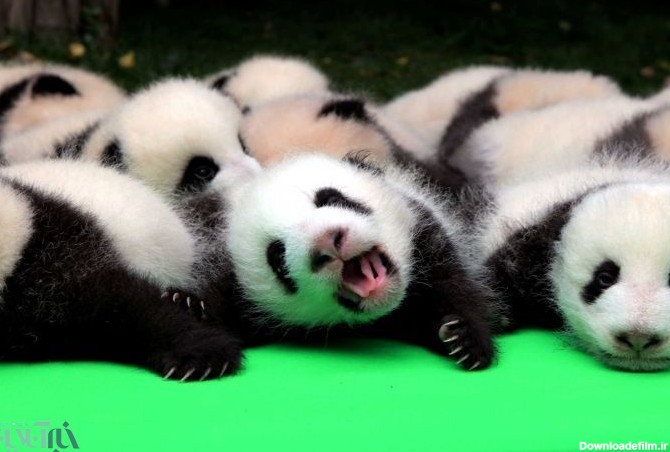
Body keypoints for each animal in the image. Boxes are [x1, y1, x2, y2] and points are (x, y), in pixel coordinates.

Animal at [176, 153, 497, 371]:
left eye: (332, 198)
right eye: (277, 257)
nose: (328, 242)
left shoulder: (426, 235)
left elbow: (454, 286)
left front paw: (463, 338)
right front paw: (191, 310)